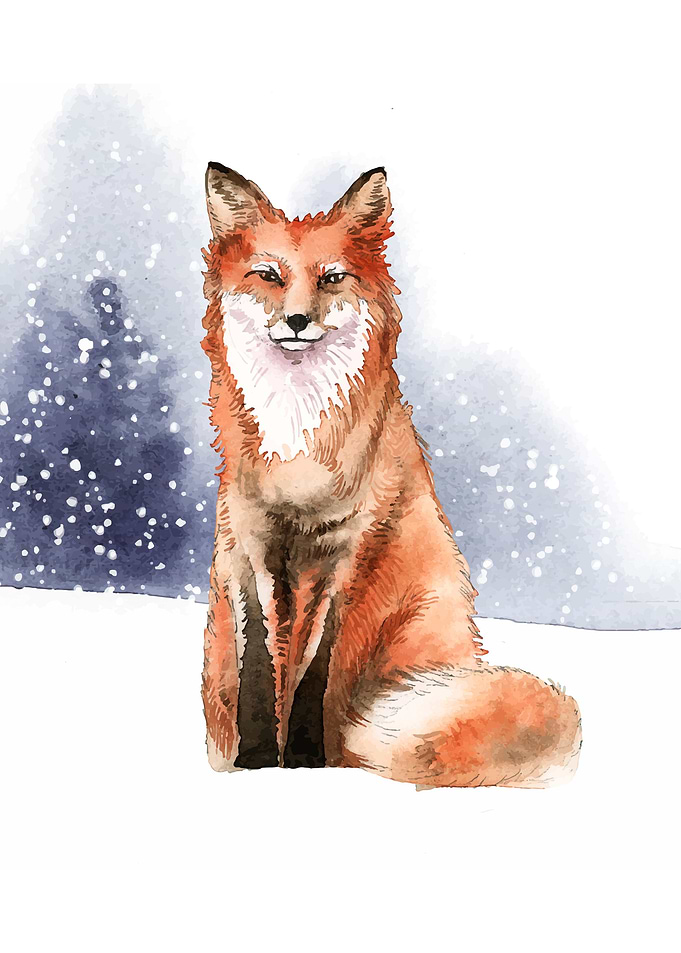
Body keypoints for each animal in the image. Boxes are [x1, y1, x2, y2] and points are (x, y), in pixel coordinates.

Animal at [200, 162, 582, 787]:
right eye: (269, 276)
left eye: (332, 278)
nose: (297, 321)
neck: (300, 453)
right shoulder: (245, 543)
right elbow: (257, 666)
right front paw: (256, 764)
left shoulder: (349, 551)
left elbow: (314, 670)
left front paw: (301, 762)